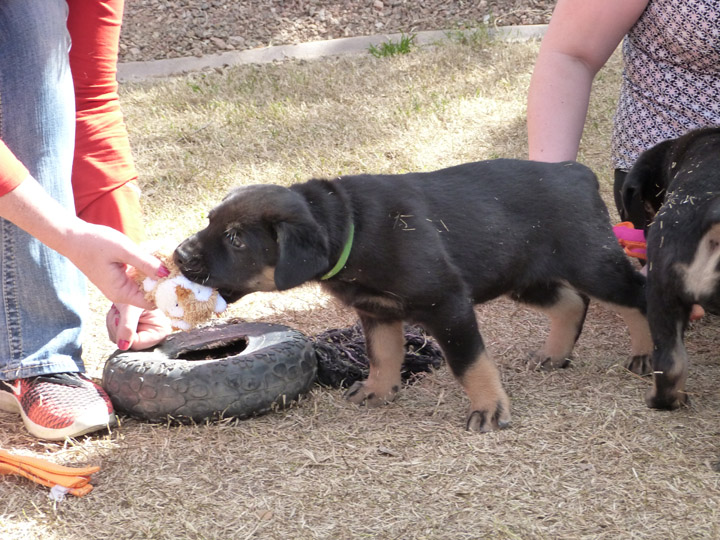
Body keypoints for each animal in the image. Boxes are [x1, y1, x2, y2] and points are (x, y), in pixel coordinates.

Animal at [174, 158, 652, 432]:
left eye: (236, 240)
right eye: (210, 220)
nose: (179, 255)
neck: (353, 229)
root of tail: (577, 171)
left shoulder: (449, 305)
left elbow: (470, 364)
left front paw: (490, 409)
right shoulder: (377, 312)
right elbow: (384, 355)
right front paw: (377, 390)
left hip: (589, 262)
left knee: (636, 295)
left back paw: (647, 355)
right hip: (524, 275)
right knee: (571, 303)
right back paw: (554, 354)